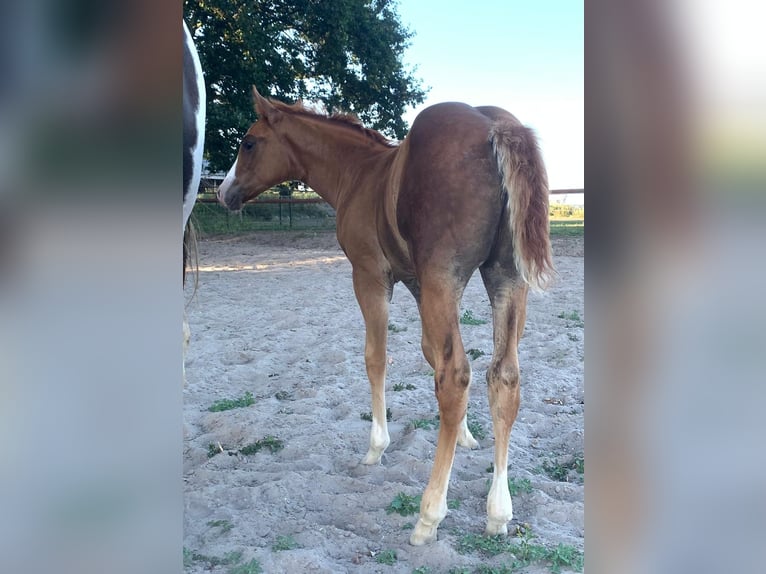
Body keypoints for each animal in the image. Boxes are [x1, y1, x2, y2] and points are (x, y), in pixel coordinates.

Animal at [217, 87, 554, 545]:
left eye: (249, 143)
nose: (224, 192)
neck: (358, 174)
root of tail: (496, 127)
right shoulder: (416, 282)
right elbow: (430, 352)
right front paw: (467, 436)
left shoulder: (370, 276)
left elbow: (376, 358)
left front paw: (377, 446)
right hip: (505, 277)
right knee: (503, 377)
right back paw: (498, 512)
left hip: (445, 276)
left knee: (455, 378)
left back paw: (429, 515)